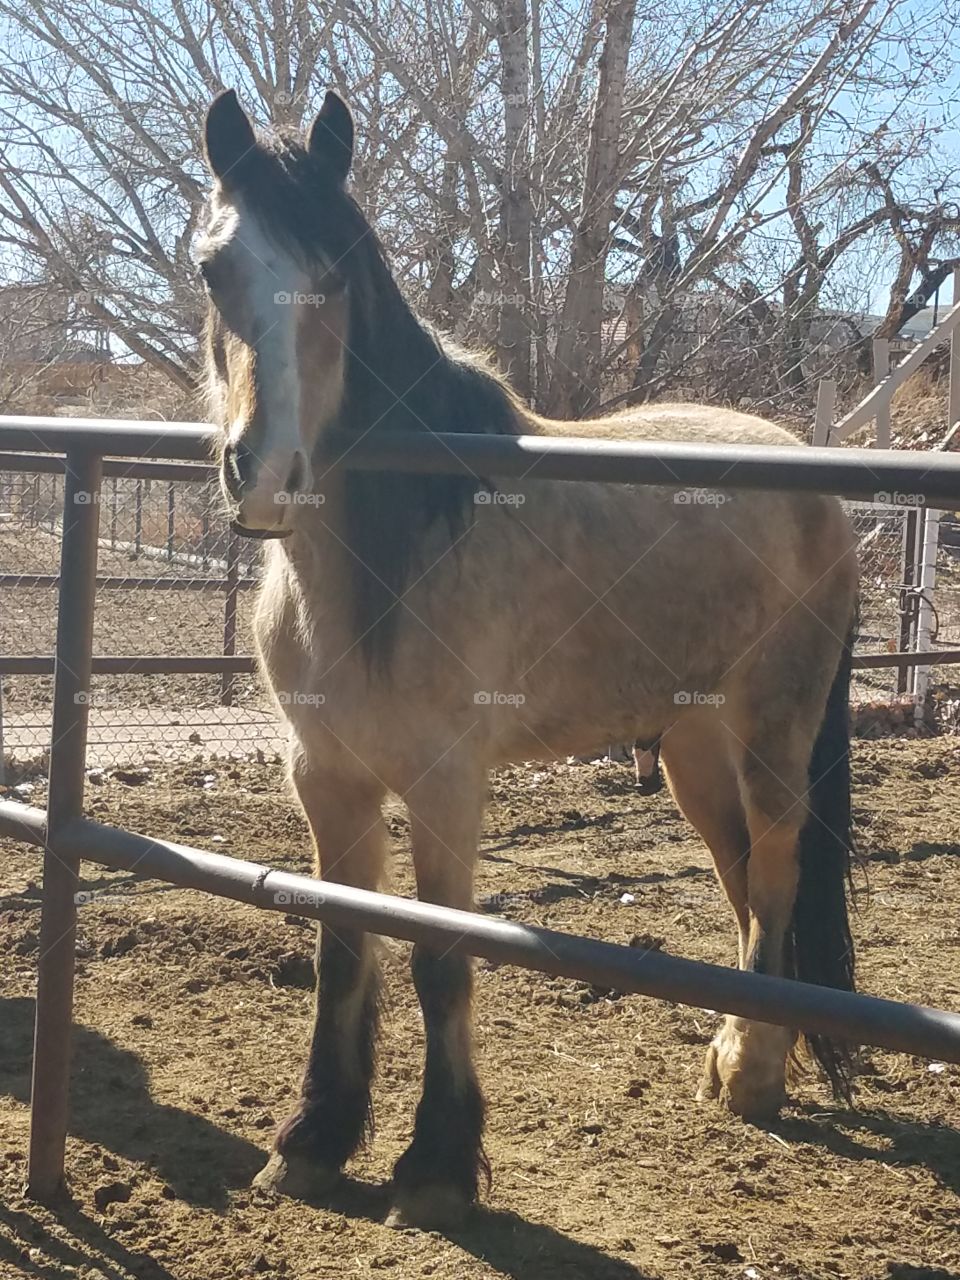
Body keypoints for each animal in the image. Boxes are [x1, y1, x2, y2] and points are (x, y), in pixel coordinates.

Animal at [197, 87, 865, 1228]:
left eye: (337, 272)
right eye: (212, 268)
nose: (265, 470)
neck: (394, 546)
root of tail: (812, 476)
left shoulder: (444, 783)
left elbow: (439, 959)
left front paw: (434, 1166)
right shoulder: (325, 776)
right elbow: (342, 949)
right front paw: (314, 1142)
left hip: (776, 729)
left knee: (775, 865)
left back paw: (756, 1073)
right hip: (691, 749)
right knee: (737, 872)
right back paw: (734, 1054)